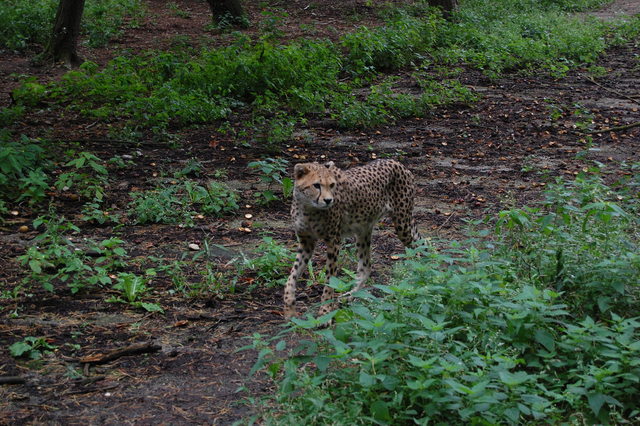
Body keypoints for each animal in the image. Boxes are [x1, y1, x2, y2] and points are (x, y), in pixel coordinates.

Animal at [284, 160, 420, 320]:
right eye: (316, 185)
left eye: (332, 185)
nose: (328, 200)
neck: (307, 207)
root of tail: (396, 162)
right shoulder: (306, 243)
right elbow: (292, 275)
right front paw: (289, 306)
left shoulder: (334, 242)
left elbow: (329, 280)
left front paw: (325, 313)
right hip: (363, 229)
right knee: (366, 267)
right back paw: (349, 295)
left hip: (402, 223)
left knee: (418, 248)